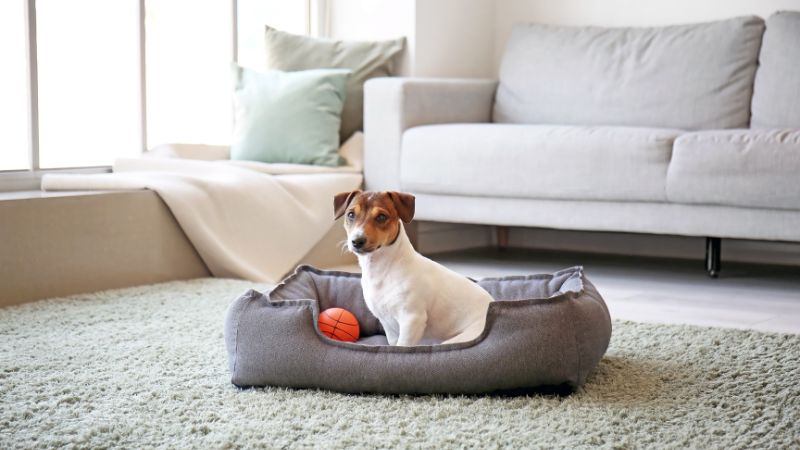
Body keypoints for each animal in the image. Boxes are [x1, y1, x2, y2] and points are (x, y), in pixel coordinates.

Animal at [332, 189, 494, 344]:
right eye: (351, 214)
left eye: (381, 217)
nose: (357, 241)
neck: (382, 270)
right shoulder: (387, 324)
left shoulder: (412, 320)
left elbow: (403, 345)